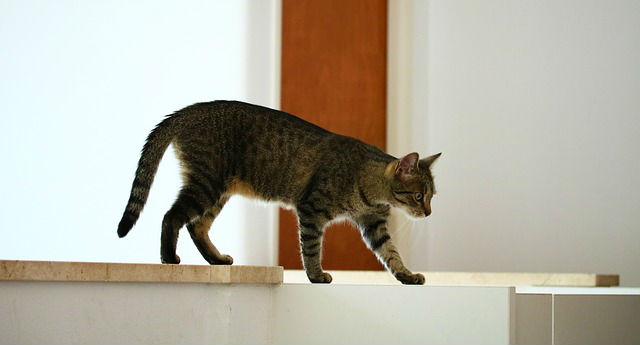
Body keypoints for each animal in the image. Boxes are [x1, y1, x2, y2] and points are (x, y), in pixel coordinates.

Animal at [117, 101, 440, 284]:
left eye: (431, 196)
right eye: (419, 196)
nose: (428, 213)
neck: (370, 189)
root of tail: (186, 111)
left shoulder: (374, 225)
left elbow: (391, 254)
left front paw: (407, 275)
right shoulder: (311, 211)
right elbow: (311, 248)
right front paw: (316, 275)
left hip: (217, 192)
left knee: (197, 226)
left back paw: (217, 259)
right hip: (206, 184)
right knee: (171, 217)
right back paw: (169, 258)